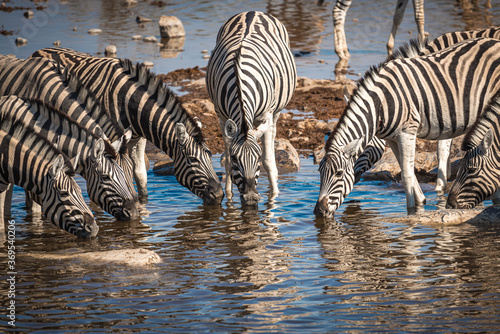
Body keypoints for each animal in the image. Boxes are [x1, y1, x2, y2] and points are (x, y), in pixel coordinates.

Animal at [28, 46, 221, 204]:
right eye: (193, 160)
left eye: (210, 155)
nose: (219, 196)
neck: (129, 104)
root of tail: (37, 51)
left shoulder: (138, 139)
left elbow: (140, 175)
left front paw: (144, 205)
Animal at [204, 11, 294, 206]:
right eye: (236, 159)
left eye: (257, 158)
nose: (251, 198)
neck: (239, 81)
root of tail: (252, 12)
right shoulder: (221, 116)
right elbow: (227, 162)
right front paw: (229, 196)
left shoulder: (267, 114)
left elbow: (268, 160)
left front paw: (274, 196)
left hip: (276, 111)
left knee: (272, 135)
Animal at [314, 37, 500, 218]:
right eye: (319, 172)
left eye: (338, 173)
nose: (319, 211)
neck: (381, 105)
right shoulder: (393, 137)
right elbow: (406, 171)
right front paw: (421, 201)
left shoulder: (407, 132)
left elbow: (407, 175)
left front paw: (412, 212)